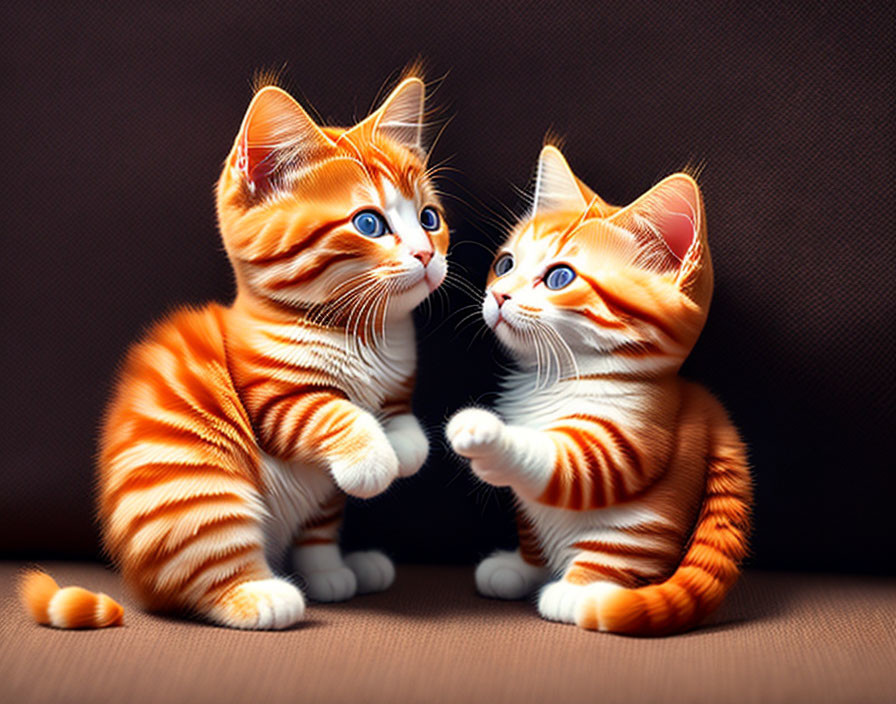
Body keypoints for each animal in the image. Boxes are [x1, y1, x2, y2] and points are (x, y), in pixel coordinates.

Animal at [95, 74, 452, 628]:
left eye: (430, 218)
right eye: (370, 224)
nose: (427, 253)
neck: (364, 337)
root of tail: (133, 579)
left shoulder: (394, 384)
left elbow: (393, 417)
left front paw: (405, 451)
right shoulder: (273, 399)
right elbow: (337, 414)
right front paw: (374, 459)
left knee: (316, 528)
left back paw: (342, 571)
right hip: (196, 488)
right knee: (205, 564)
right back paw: (263, 595)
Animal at [446, 146, 748, 636]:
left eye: (559, 278)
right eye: (505, 265)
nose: (499, 296)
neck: (551, 380)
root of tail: (702, 407)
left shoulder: (633, 438)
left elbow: (562, 462)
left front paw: (484, 435)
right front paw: (519, 566)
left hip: (639, 527)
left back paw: (579, 592)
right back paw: (525, 569)